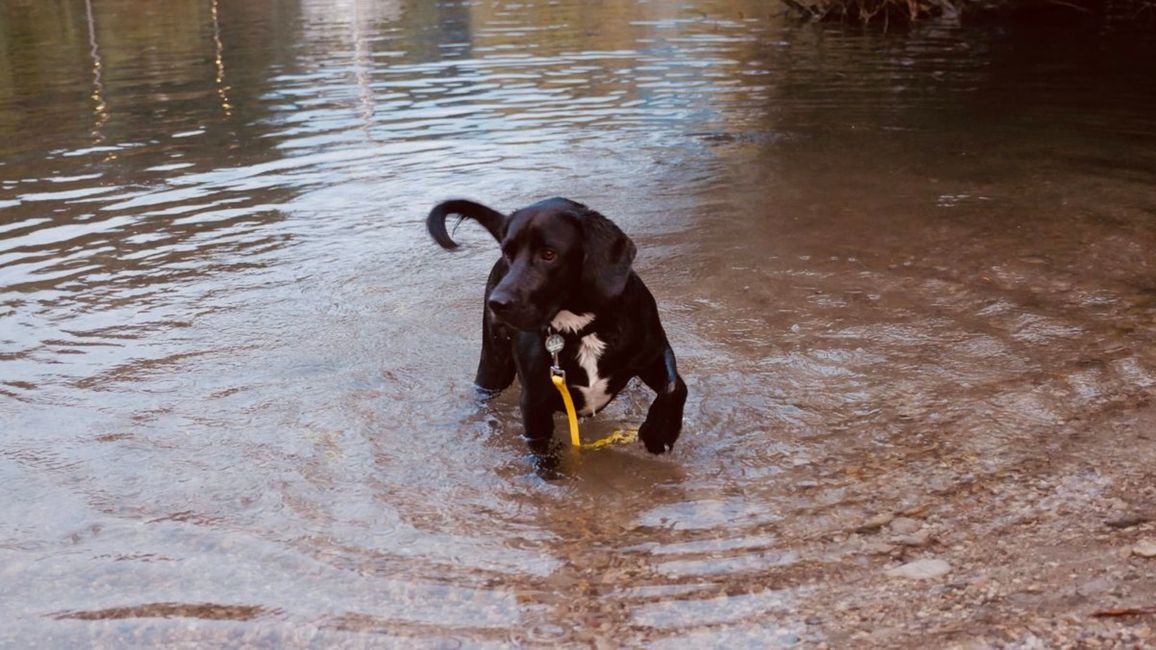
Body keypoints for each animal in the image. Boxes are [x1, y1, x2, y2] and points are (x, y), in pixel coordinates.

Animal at [427, 197, 684, 455]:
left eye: (549, 254)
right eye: (508, 253)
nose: (496, 303)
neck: (583, 328)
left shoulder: (654, 353)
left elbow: (675, 385)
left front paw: (659, 431)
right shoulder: (534, 403)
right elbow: (542, 452)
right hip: (493, 362)